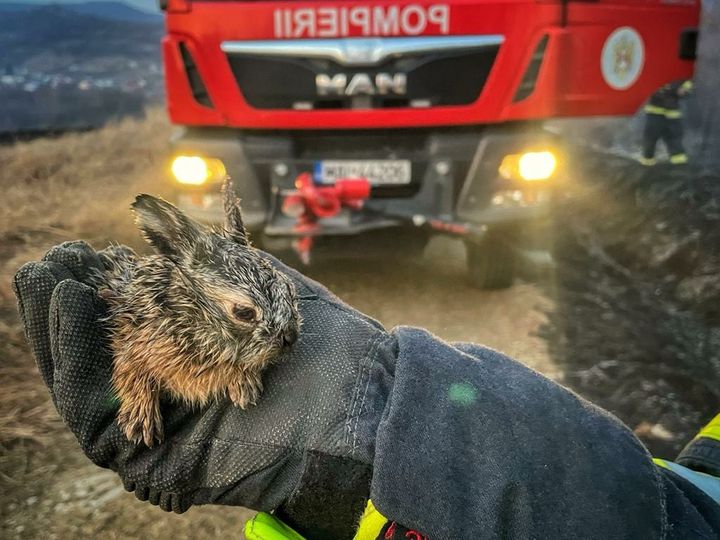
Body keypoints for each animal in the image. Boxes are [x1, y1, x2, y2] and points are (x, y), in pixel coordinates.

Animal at [91, 181, 300, 448]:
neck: (194, 317)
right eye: (244, 313)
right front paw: (140, 420)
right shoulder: (131, 335)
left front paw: (244, 386)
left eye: (289, 288)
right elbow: (130, 371)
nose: (290, 337)